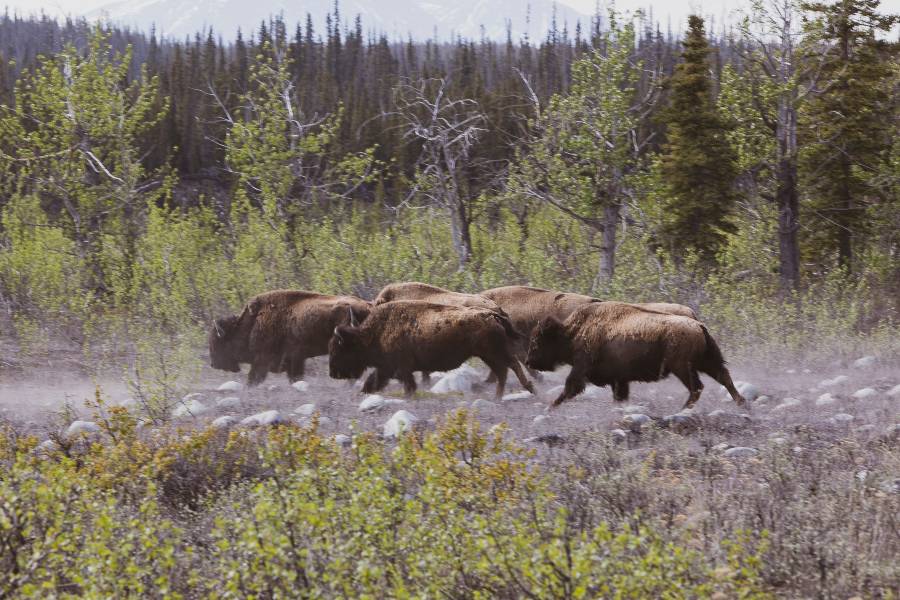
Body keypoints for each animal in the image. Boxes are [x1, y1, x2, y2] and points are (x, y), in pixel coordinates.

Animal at [209, 290, 370, 384]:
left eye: (218, 343)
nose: (213, 364)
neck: (252, 323)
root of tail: (368, 306)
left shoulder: (263, 361)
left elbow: (253, 379)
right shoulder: (295, 361)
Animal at [326, 300, 532, 398]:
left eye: (338, 349)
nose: (333, 374)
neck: (373, 334)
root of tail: (491, 314)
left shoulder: (398, 368)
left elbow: (407, 384)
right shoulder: (388, 369)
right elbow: (374, 381)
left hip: (492, 353)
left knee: (511, 366)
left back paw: (529, 389)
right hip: (488, 355)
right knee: (503, 372)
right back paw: (498, 397)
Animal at [520, 302, 744, 410]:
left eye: (537, 342)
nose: (528, 361)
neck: (573, 331)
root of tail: (699, 325)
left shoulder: (581, 367)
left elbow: (569, 387)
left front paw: (551, 406)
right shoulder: (619, 380)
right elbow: (619, 396)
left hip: (682, 367)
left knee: (697, 387)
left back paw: (683, 409)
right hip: (705, 362)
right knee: (723, 377)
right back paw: (742, 403)